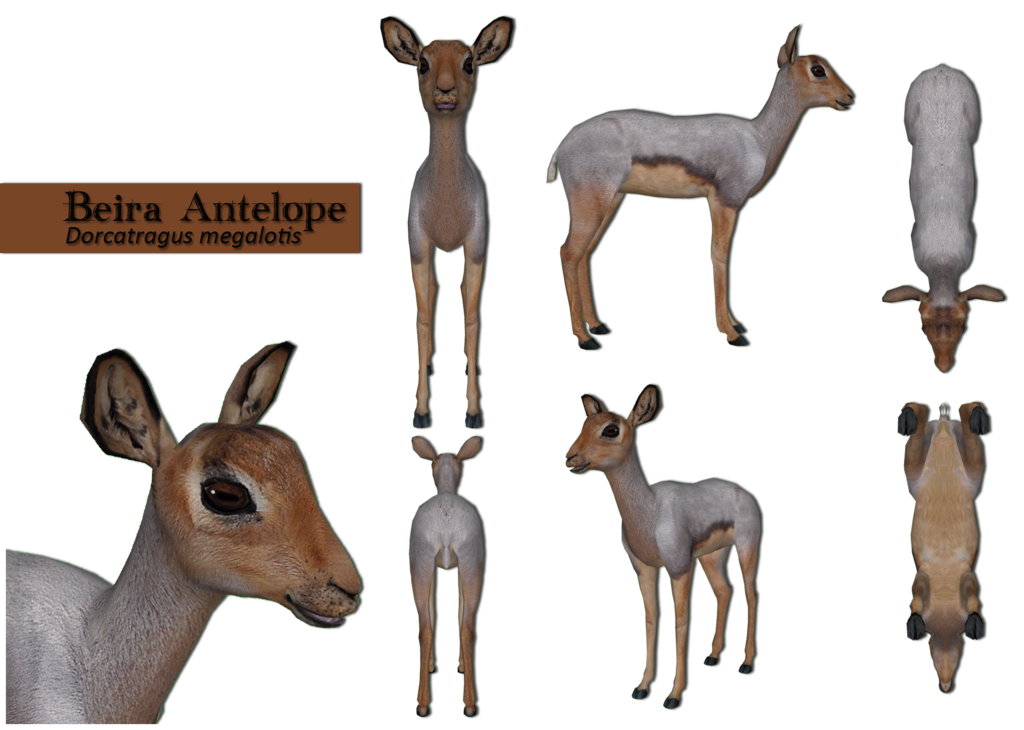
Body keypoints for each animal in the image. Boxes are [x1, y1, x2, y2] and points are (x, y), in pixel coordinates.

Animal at [380, 15, 513, 429]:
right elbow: (422, 319)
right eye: (423, 63)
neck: (448, 204)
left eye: (469, 62)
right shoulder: (419, 246)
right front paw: (420, 412)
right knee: (437, 292)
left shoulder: (477, 246)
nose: (445, 92)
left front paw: (473, 411)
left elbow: (471, 319)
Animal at [408, 436, 483, 718]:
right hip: (469, 561)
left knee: (428, 626)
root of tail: (446, 527)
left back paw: (425, 703)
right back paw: (467, 704)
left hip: (421, 561)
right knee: (463, 626)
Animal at [545, 24, 853, 350]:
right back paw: (584, 338)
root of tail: (564, 143)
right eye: (818, 69)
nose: (848, 97)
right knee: (568, 252)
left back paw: (596, 326)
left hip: (609, 202)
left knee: (584, 254)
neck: (759, 138)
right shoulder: (725, 201)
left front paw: (734, 324)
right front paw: (731, 334)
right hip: (591, 203)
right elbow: (719, 256)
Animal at [562, 385, 760, 709]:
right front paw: (641, 687)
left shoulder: (678, 567)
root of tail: (741, 491)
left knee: (750, 594)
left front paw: (673, 695)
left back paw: (745, 663)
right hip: (711, 557)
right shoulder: (643, 569)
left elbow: (681, 620)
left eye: (611, 429)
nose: (570, 458)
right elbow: (651, 619)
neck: (650, 512)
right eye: (584, 424)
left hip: (746, 547)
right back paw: (712, 656)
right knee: (724, 591)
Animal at [896, 400, 987, 694]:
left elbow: (972, 595)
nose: (945, 686)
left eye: (959, 638)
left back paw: (973, 415)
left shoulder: (967, 573)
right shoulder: (921, 574)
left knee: (969, 433)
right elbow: (915, 596)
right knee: (917, 432)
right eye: (929, 639)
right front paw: (912, 623)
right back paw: (910, 415)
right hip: (915, 476)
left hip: (971, 475)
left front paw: (976, 623)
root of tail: (944, 426)